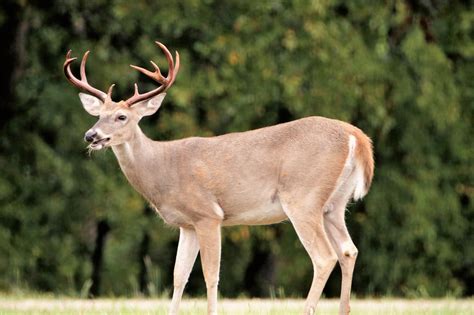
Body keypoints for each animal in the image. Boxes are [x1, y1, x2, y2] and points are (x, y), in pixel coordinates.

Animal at [63, 42, 374, 315]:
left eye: (122, 117)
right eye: (98, 115)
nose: (91, 136)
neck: (164, 167)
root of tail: (356, 136)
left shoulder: (208, 214)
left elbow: (210, 275)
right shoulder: (187, 225)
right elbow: (179, 276)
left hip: (303, 197)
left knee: (324, 256)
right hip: (333, 204)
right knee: (348, 250)